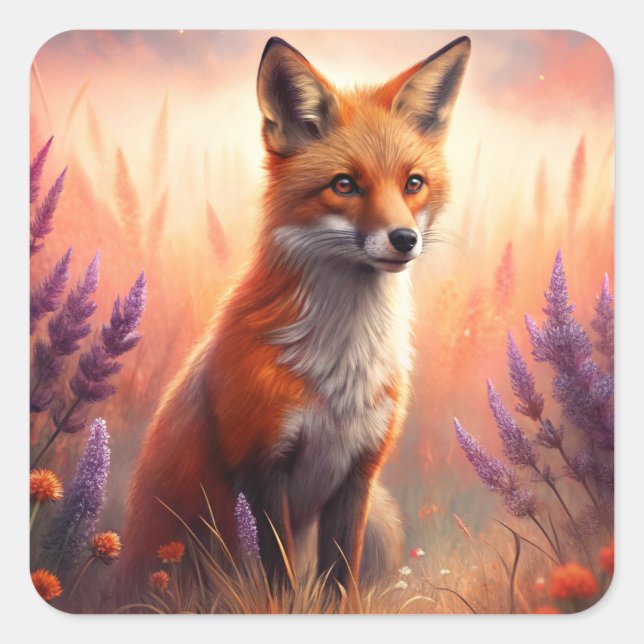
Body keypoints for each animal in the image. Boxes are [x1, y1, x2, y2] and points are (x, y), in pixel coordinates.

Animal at [121, 35, 470, 592]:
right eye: (344, 185)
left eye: (413, 183)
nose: (404, 239)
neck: (341, 374)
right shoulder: (261, 469)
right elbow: (280, 581)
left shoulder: (359, 473)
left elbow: (340, 582)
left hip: (381, 518)